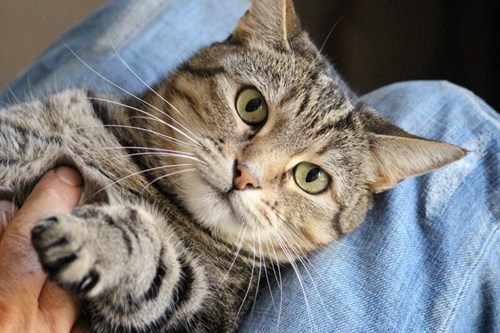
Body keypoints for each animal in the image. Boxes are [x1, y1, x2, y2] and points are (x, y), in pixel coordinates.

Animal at [0, 0, 464, 332]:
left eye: (312, 178)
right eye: (251, 105)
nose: (246, 175)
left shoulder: (205, 312)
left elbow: (160, 265)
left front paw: (98, 240)